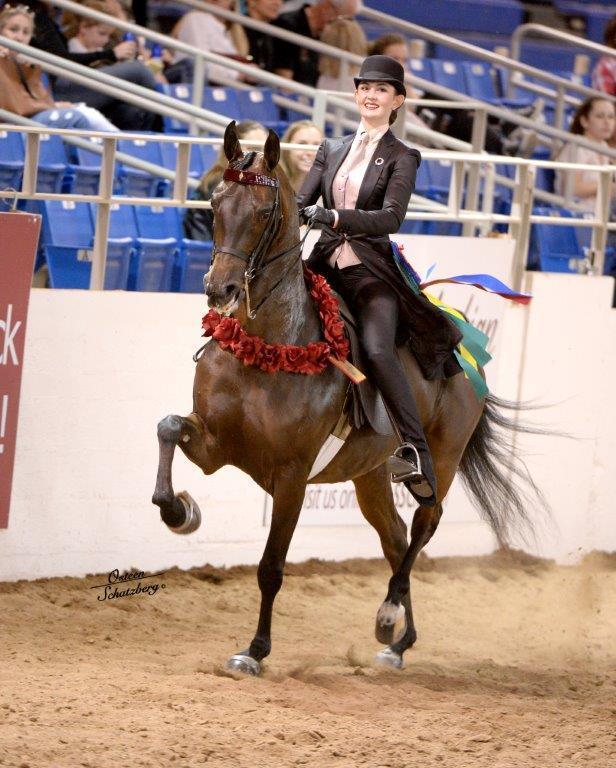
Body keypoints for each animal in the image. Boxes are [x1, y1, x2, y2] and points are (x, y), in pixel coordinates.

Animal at [152, 121, 533, 675]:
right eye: (215, 202)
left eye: (263, 213)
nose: (219, 291)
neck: (267, 345)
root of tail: (466, 354)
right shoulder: (216, 445)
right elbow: (166, 427)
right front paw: (179, 511)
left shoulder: (291, 475)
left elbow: (271, 566)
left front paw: (255, 651)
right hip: (370, 472)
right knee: (395, 536)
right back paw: (397, 640)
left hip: (439, 458)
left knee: (425, 524)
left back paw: (389, 612)